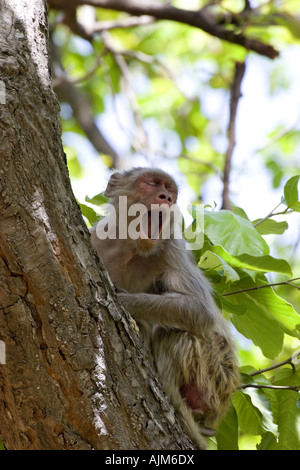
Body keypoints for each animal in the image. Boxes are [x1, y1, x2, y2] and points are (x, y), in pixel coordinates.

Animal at [90, 167, 240, 450]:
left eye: (171, 192)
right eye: (151, 183)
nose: (166, 198)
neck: (128, 246)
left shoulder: (171, 247)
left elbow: (201, 310)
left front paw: (125, 302)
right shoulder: (95, 239)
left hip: (215, 380)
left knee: (177, 335)